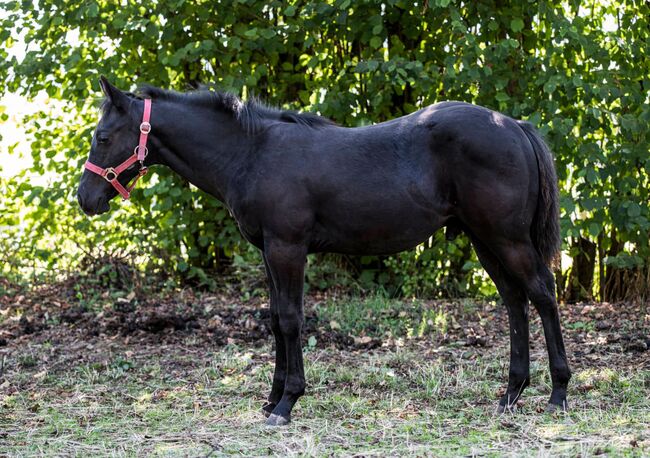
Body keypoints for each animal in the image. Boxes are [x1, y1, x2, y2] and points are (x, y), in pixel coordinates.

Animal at [78, 77, 568, 424]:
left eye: (103, 137)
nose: (86, 199)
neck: (251, 153)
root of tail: (515, 126)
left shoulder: (288, 248)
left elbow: (292, 320)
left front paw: (287, 403)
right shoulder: (268, 251)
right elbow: (276, 319)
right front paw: (271, 398)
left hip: (506, 238)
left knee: (542, 294)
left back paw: (558, 394)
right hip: (484, 239)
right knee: (515, 301)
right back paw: (511, 394)